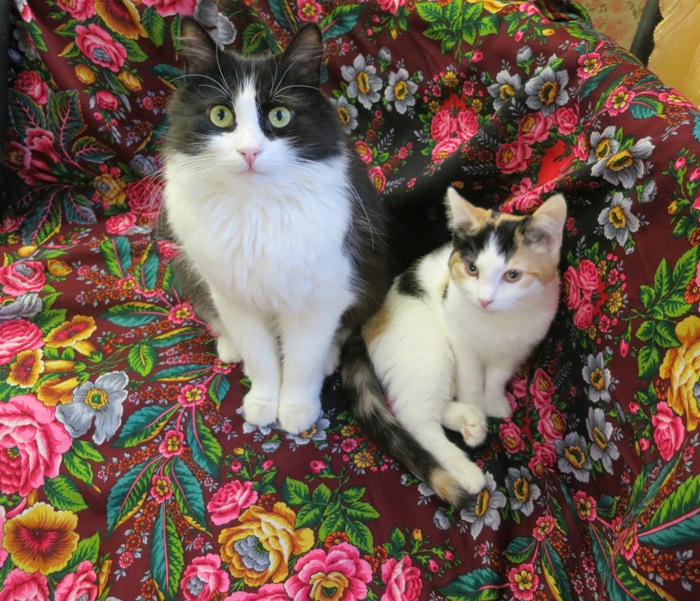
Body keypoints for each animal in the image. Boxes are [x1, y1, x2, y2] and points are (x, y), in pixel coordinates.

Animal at [162, 20, 388, 434]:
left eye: (280, 116)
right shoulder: (233, 295)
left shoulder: (320, 295)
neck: (256, 209)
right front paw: (264, 401)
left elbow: (301, 361)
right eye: (221, 116)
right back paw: (228, 345)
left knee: (343, 328)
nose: (249, 151)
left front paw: (297, 409)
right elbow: (260, 356)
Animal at [341, 187, 567, 506]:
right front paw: (477, 402)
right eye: (472, 269)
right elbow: (472, 379)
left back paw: (471, 424)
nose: (485, 299)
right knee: (416, 418)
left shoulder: (518, 348)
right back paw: (465, 469)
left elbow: (496, 377)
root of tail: (367, 321)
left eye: (512, 275)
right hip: (429, 350)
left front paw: (493, 402)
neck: (496, 323)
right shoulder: (459, 338)